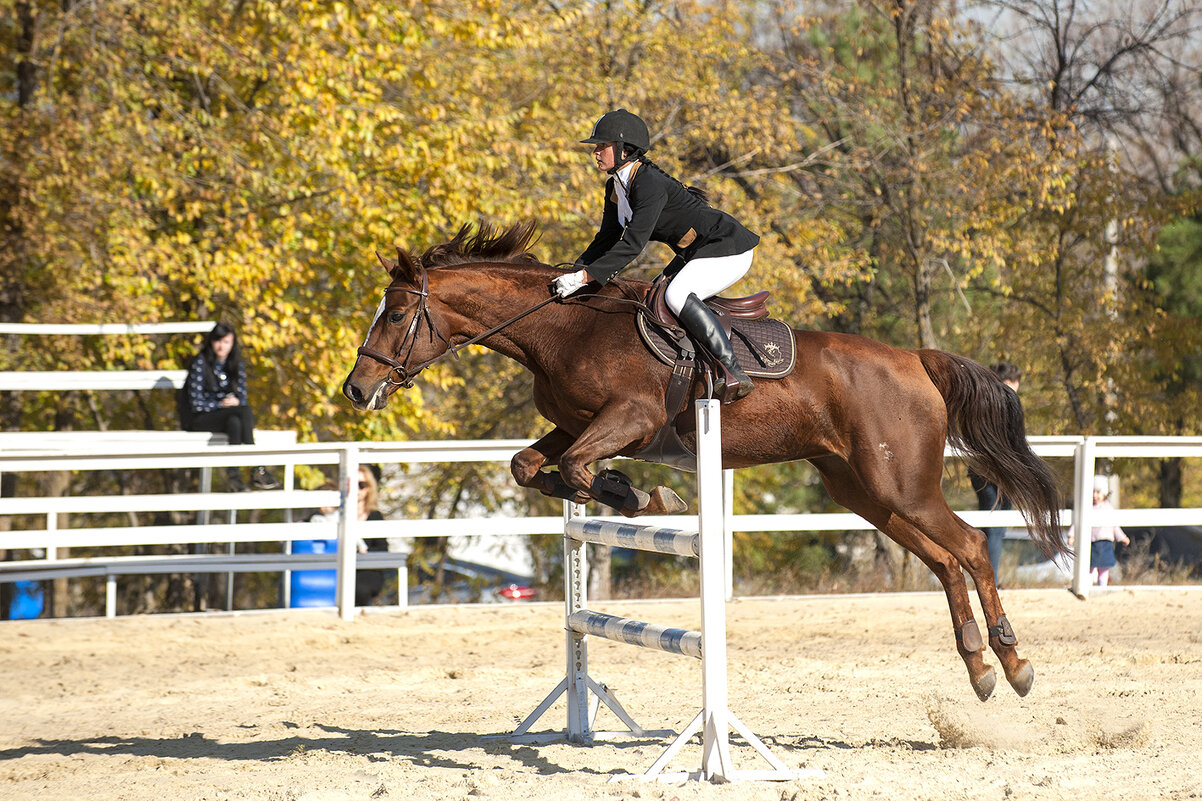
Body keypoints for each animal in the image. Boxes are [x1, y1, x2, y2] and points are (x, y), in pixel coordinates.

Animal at [343, 221, 1067, 702]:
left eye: (398, 313)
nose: (356, 388)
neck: (564, 328)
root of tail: (916, 358)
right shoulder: (574, 424)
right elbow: (531, 466)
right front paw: (632, 494)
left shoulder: (628, 421)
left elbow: (576, 469)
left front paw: (645, 497)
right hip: (863, 491)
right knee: (944, 560)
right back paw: (978, 667)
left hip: (902, 485)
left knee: (968, 547)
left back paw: (1012, 662)